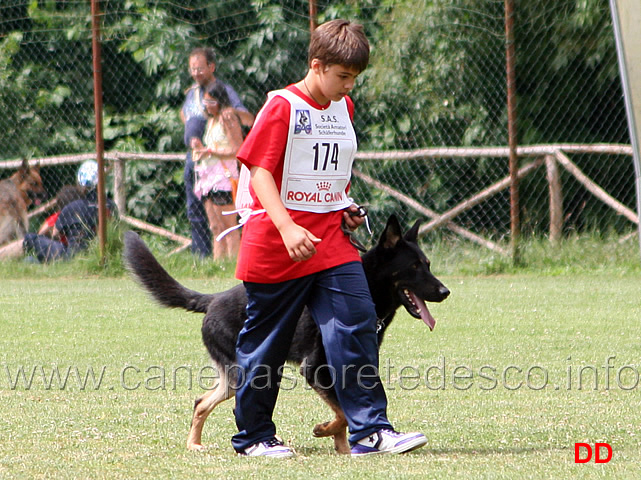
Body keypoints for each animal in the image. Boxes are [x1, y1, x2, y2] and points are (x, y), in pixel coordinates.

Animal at [121, 214, 450, 454]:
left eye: (428, 264)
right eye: (414, 267)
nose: (445, 292)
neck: (368, 286)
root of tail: (212, 300)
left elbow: (346, 409)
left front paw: (343, 448)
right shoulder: (314, 368)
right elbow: (342, 413)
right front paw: (325, 430)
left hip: (232, 379)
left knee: (201, 402)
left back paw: (194, 444)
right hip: (251, 371)